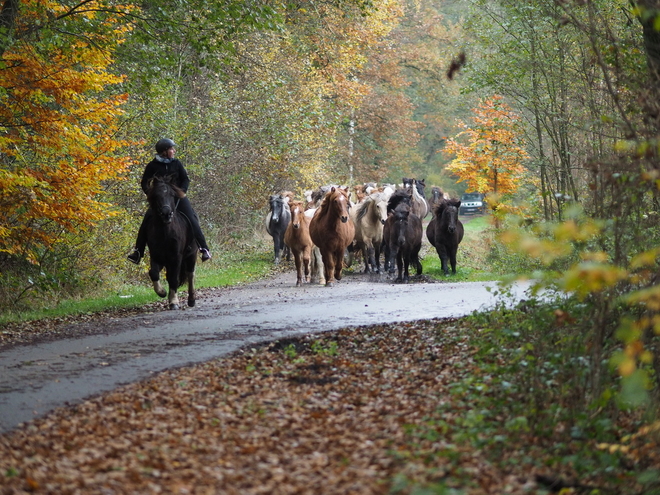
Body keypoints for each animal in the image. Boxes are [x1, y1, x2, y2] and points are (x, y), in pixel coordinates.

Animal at [144, 175, 196, 310]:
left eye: (172, 195)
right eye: (156, 195)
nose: (166, 213)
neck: (165, 233)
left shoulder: (176, 257)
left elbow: (173, 279)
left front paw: (174, 302)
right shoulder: (156, 256)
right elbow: (154, 273)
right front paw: (162, 292)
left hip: (191, 255)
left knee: (190, 274)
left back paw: (191, 300)